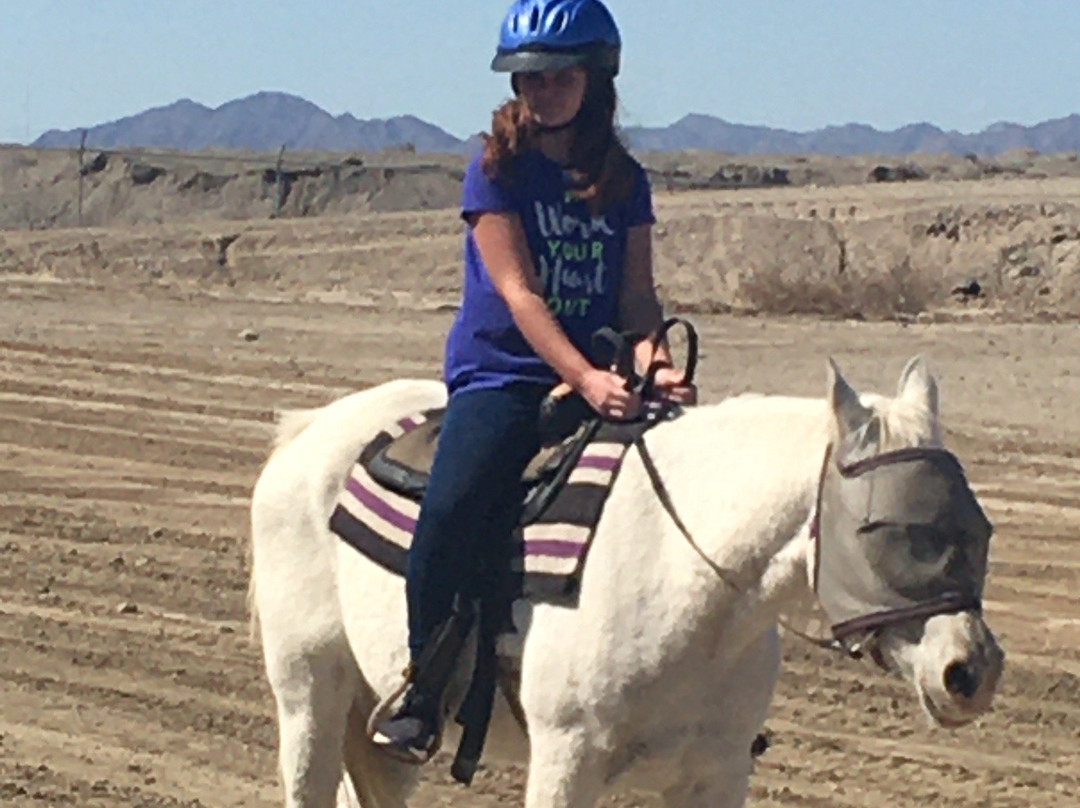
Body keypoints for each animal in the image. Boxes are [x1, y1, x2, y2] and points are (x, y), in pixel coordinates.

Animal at [247, 355, 1004, 808]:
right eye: (882, 527)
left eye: (981, 524)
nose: (970, 671)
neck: (688, 578)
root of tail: (309, 432)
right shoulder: (566, 762)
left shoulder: (717, 772)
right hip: (310, 695)